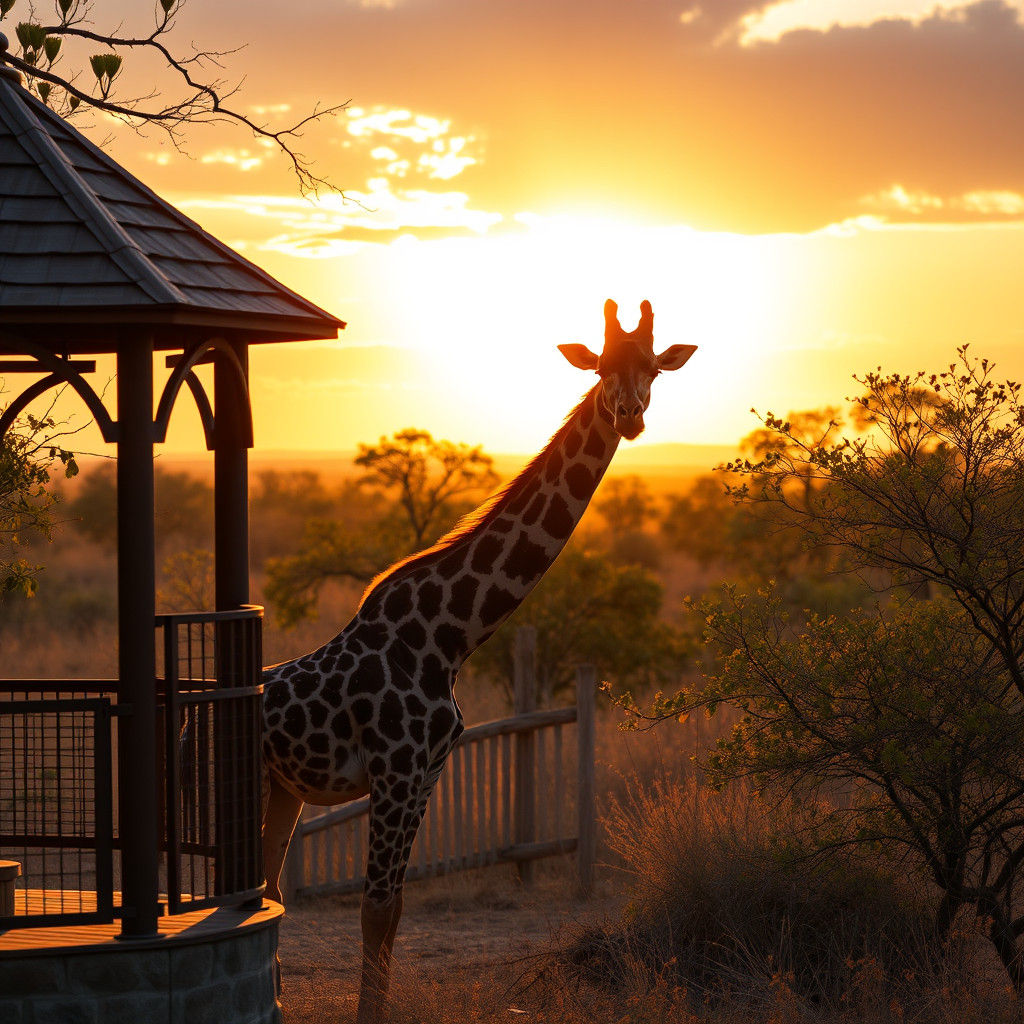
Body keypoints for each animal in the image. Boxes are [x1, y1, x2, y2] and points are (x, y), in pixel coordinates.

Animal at [260, 298, 697, 1023]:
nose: (628, 415)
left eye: (654, 369)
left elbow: (393, 912)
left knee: (262, 890)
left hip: (279, 790)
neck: (448, 636)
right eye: (601, 367)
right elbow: (375, 910)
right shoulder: (396, 770)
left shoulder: (426, 775)